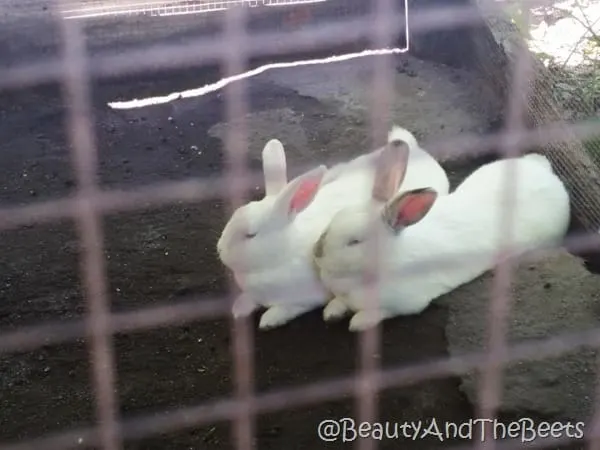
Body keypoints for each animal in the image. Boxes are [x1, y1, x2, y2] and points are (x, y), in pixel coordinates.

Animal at [216, 125, 450, 328]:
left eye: (250, 235)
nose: (219, 249)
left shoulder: (308, 299)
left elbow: (288, 307)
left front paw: (269, 319)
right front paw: (239, 308)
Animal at [314, 142, 572, 332]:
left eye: (355, 241)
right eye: (332, 221)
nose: (316, 253)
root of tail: (544, 171)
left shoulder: (407, 302)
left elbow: (380, 313)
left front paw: (357, 323)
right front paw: (331, 312)